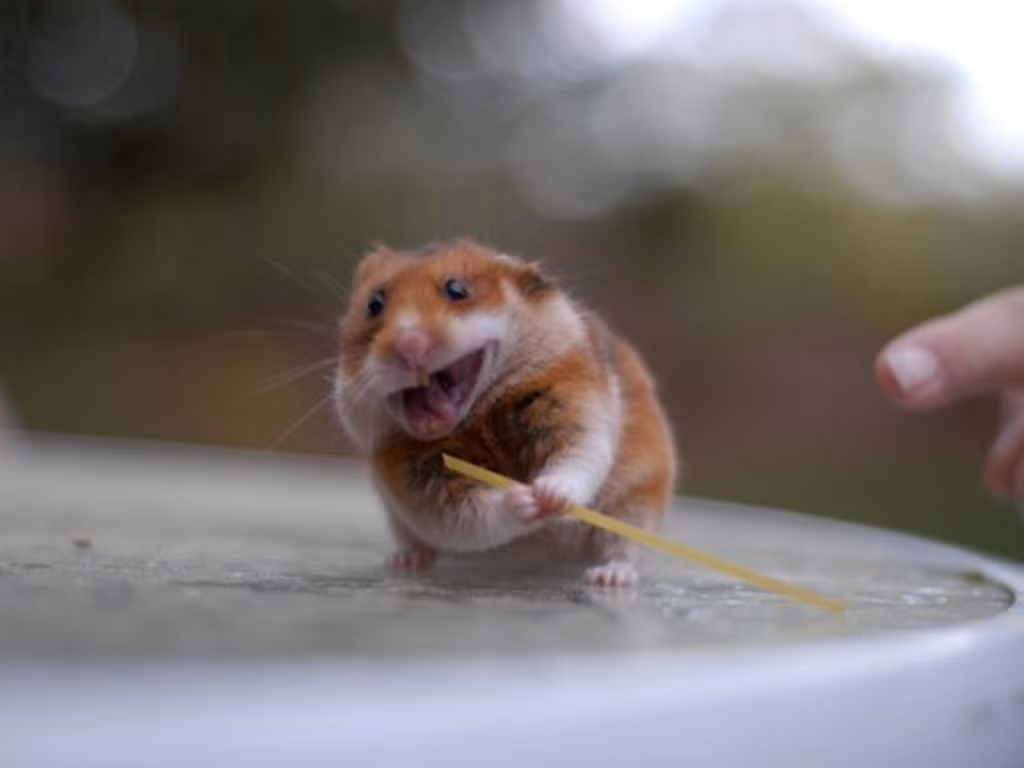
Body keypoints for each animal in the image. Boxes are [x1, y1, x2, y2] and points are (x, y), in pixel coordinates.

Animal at [334, 239, 677, 586]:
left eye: (456, 290)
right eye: (374, 304)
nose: (408, 345)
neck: (477, 414)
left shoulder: (574, 406)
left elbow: (576, 458)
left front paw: (547, 496)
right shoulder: (420, 486)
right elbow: (471, 514)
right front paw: (525, 500)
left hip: (638, 501)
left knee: (624, 547)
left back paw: (609, 577)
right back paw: (406, 561)